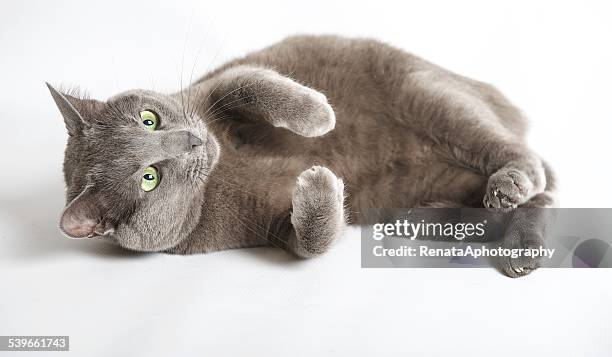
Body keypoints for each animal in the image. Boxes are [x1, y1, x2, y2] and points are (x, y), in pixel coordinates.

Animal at [46, 34, 556, 276]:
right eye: (148, 178)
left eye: (150, 120)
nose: (193, 142)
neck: (219, 170)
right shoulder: (267, 226)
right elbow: (311, 241)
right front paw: (319, 182)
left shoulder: (210, 93)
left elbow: (252, 84)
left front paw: (320, 118)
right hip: (424, 182)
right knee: (534, 197)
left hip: (432, 96)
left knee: (525, 163)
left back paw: (510, 193)